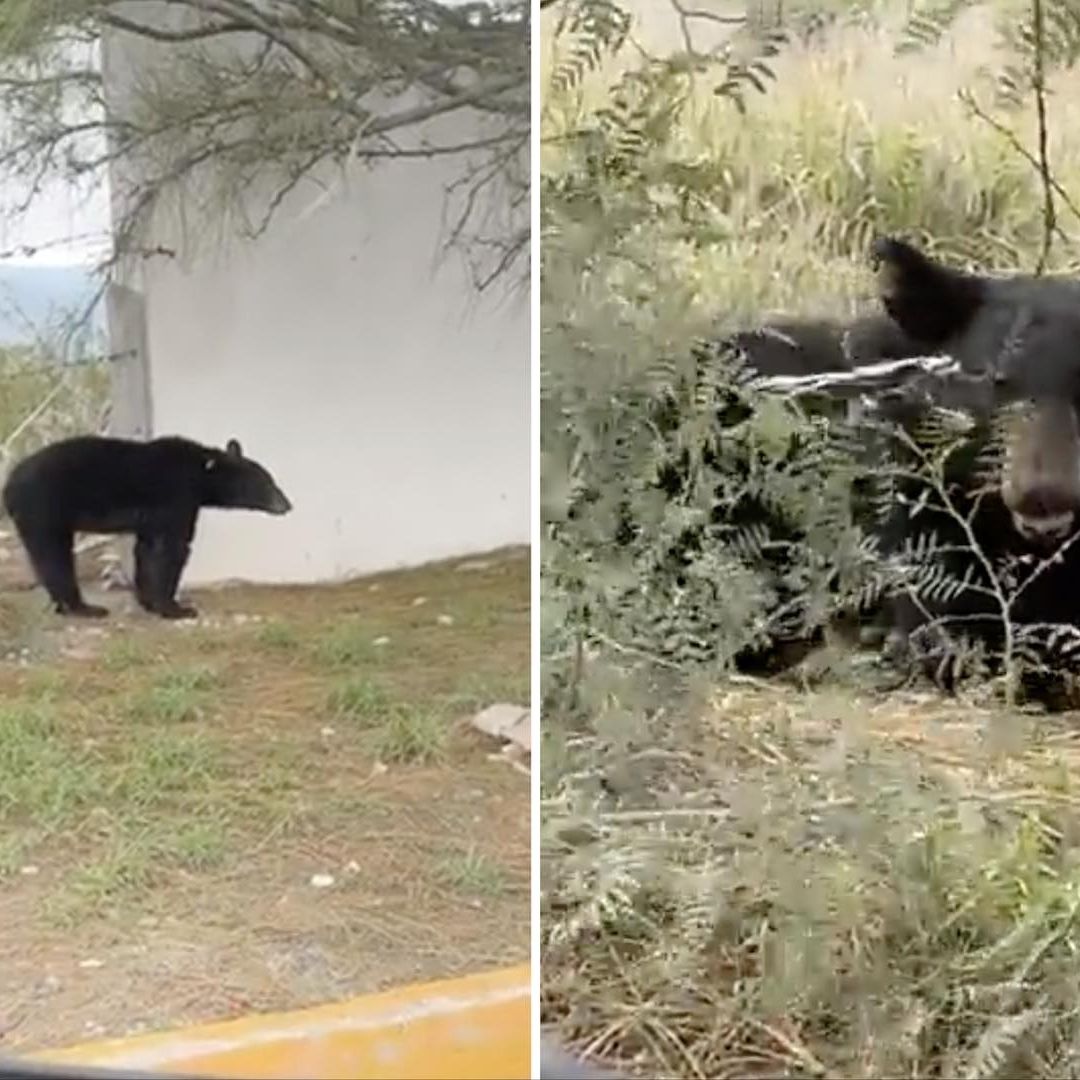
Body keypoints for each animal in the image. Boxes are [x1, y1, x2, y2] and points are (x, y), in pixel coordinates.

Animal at [1, 434, 292, 620]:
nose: (287, 504)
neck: (199, 475)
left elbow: (147, 548)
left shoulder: (154, 516)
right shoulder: (175, 498)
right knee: (53, 554)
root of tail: (9, 485)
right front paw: (176, 608)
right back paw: (83, 608)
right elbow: (172, 548)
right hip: (45, 507)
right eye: (264, 483)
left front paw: (149, 602)